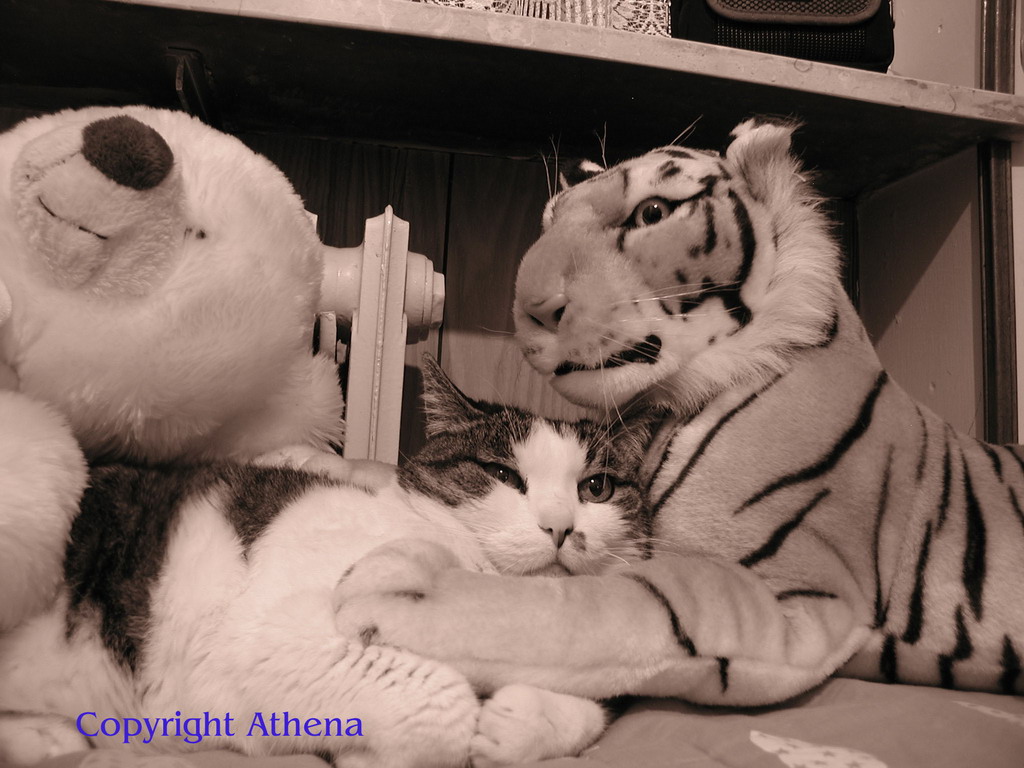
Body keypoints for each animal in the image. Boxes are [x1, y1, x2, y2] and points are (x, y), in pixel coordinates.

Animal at [331, 118, 1024, 706]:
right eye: (547, 224)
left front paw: (388, 589)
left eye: (653, 213)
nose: (529, 307)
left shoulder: (782, 593)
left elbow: (584, 604)